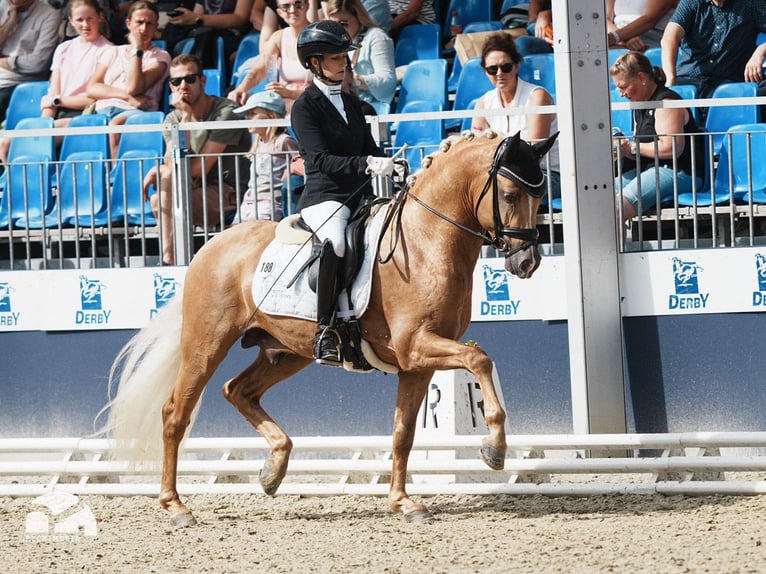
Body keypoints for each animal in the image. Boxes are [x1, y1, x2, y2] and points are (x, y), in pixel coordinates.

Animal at [105, 130, 560, 528]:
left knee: (238, 391)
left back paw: (273, 469)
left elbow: (403, 433)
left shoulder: (417, 363)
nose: (526, 263)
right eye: (509, 194)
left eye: (541, 195)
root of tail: (210, 245)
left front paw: (403, 502)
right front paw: (494, 448)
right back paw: (176, 506)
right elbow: (479, 358)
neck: (426, 240)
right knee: (175, 413)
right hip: (207, 344)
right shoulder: (416, 346)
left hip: (287, 352)